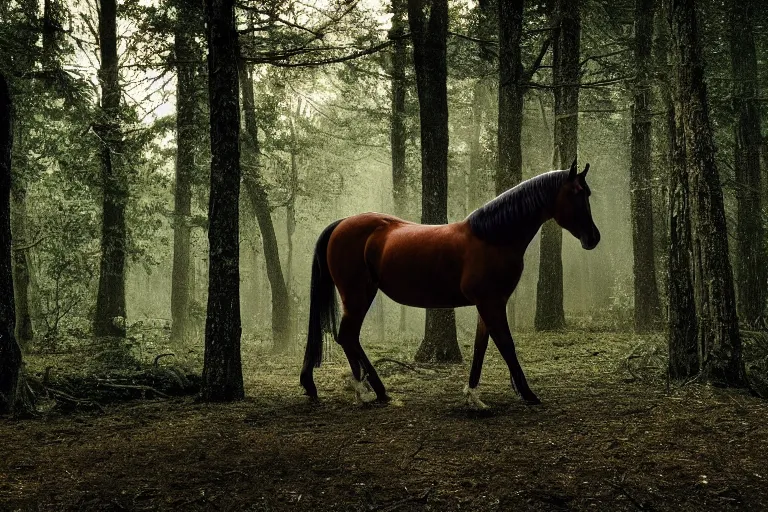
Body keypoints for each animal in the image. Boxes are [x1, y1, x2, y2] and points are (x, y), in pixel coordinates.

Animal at [298, 160, 600, 408]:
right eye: (576, 193)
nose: (593, 237)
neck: (493, 238)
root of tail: (341, 224)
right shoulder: (491, 303)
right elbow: (506, 344)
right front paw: (527, 393)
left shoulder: (488, 304)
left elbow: (481, 347)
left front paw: (473, 396)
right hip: (357, 295)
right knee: (348, 336)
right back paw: (367, 392)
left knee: (350, 338)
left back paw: (376, 391)